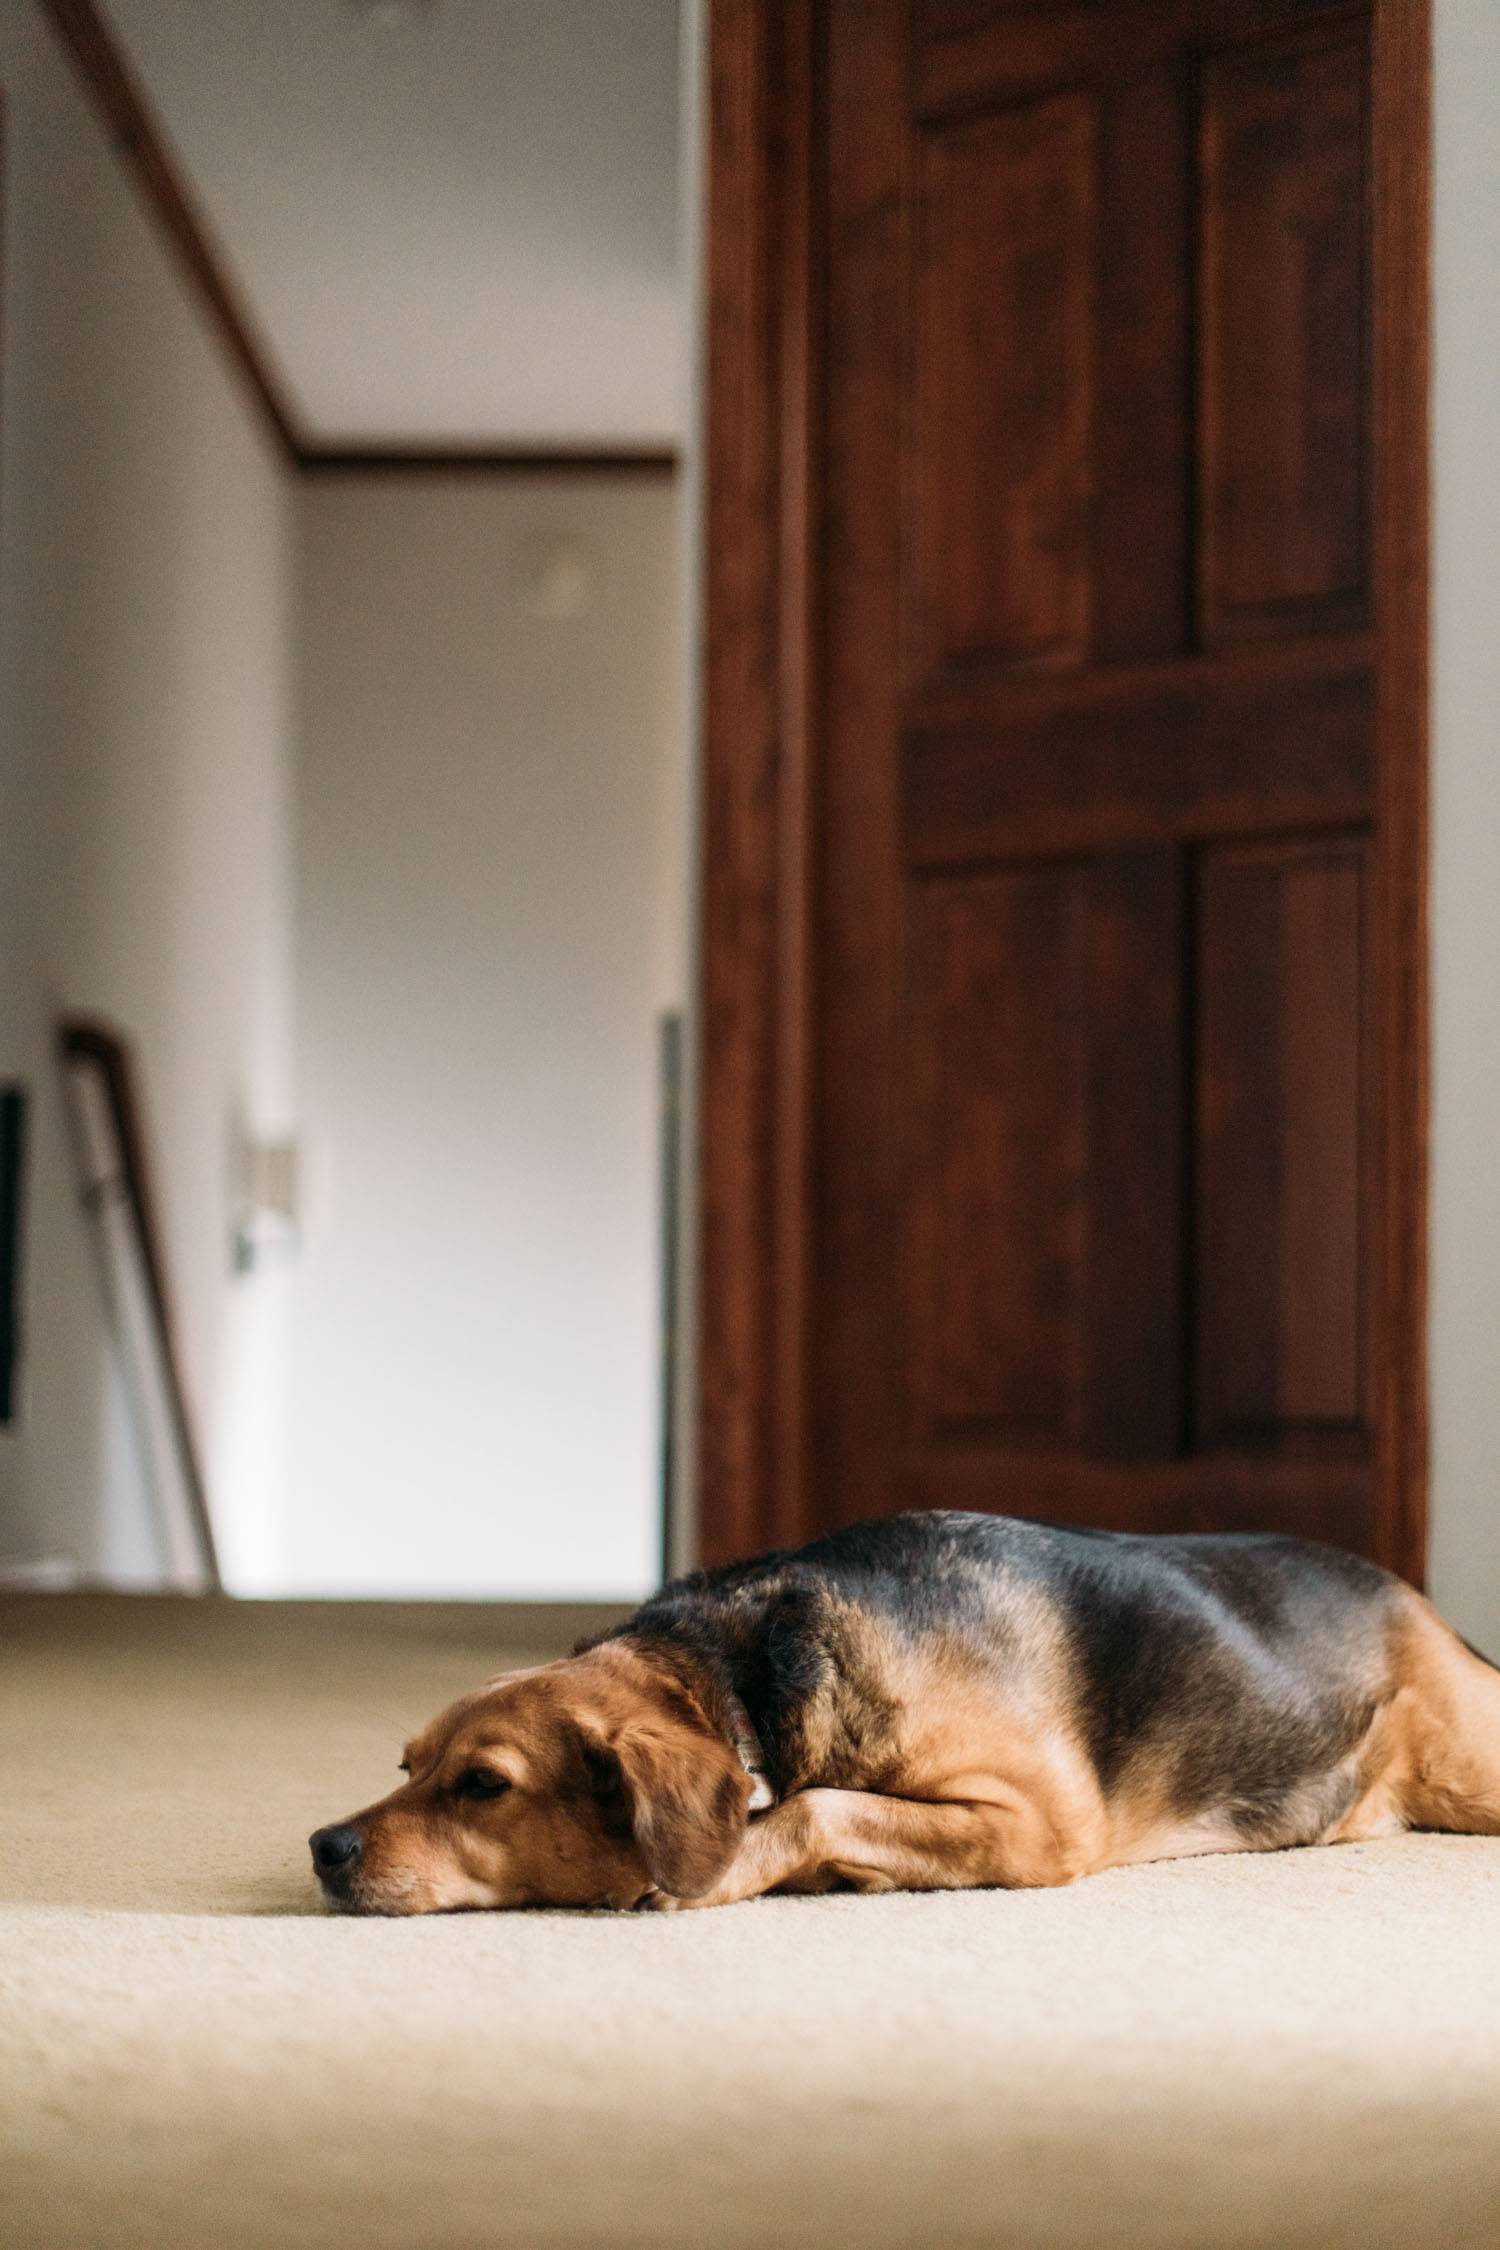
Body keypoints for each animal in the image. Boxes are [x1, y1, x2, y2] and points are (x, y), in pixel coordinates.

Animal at [310, 1512, 1500, 1917]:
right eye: (408, 1766)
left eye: (483, 1786)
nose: (324, 1847)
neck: (744, 1673)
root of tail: (1425, 1606)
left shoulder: (1032, 1826)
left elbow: (819, 1806)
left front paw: (728, 1870)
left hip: (1467, 1771)